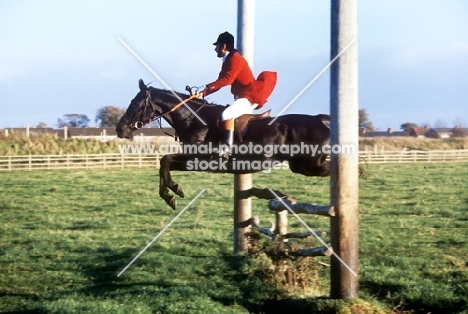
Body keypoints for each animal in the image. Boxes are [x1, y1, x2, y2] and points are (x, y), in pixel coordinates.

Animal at [115, 79, 330, 210]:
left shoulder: (201, 160)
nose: (119, 129)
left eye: (136, 104)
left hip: (308, 164)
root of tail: (320, 119)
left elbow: (165, 160)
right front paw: (170, 194)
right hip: (303, 165)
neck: (194, 120)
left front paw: (173, 191)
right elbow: (164, 164)